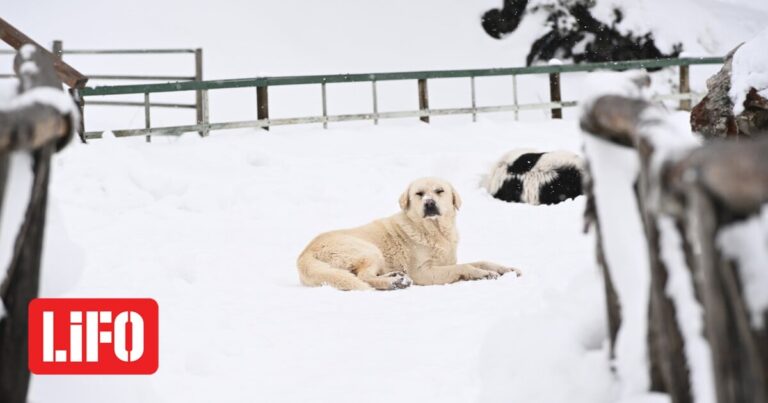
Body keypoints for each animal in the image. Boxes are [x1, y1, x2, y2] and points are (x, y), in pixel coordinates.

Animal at [296, 177, 520, 290]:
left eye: (439, 191)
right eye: (419, 194)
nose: (429, 203)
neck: (434, 231)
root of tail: (304, 255)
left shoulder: (447, 261)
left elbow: (482, 261)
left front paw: (505, 269)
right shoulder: (422, 272)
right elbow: (464, 267)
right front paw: (482, 274)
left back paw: (396, 277)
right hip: (369, 250)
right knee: (364, 278)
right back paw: (393, 282)